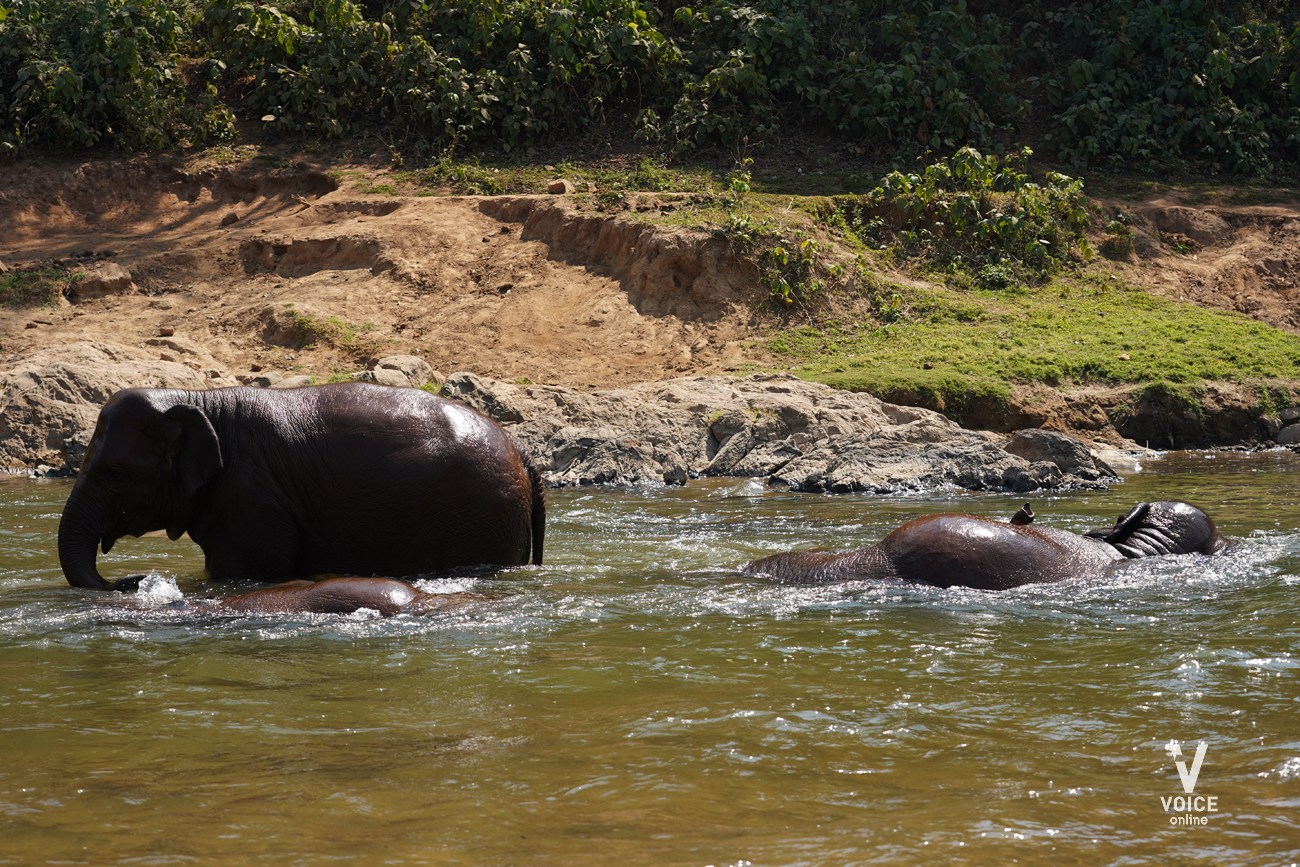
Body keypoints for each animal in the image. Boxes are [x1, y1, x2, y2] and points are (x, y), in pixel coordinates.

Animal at [54, 384, 543, 592]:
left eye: (116, 474)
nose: (133, 579)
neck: (199, 397)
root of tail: (521, 448)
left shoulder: (250, 499)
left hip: (479, 516)